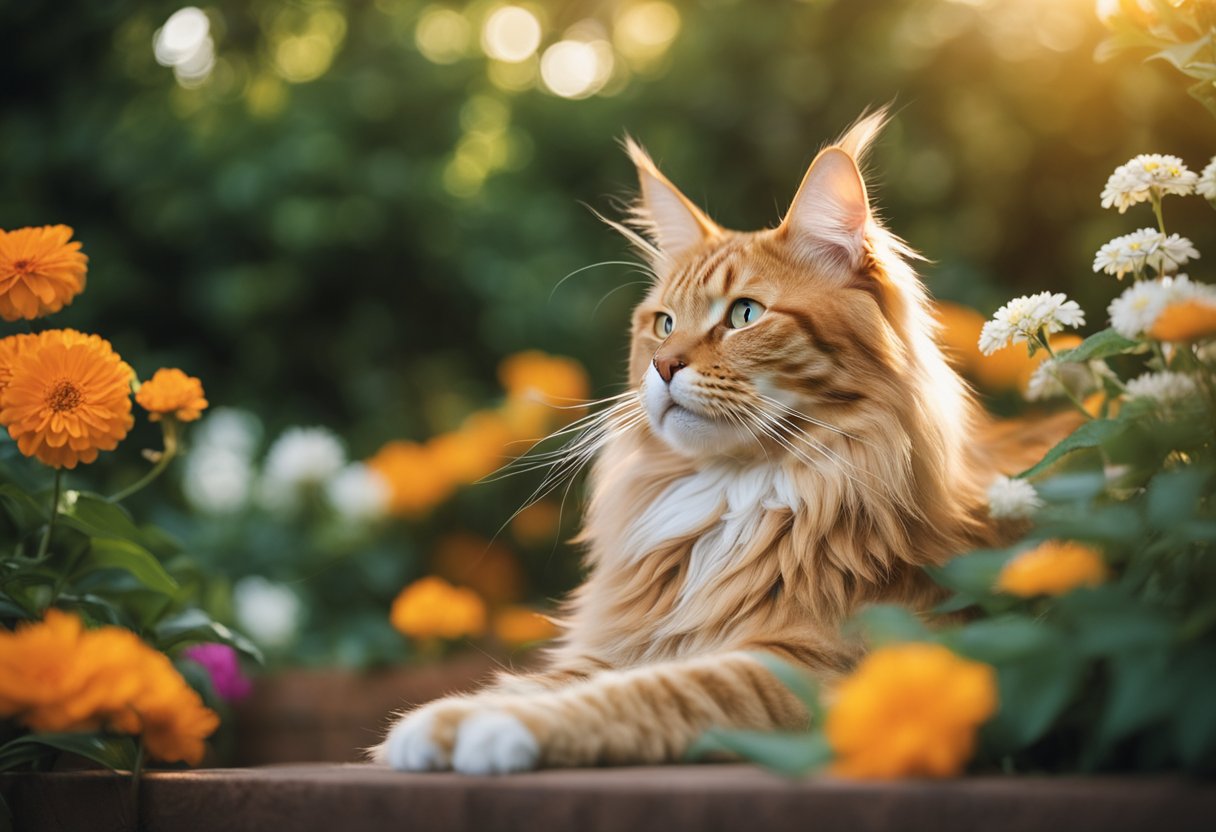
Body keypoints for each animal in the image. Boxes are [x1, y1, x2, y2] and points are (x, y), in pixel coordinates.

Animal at [372, 110, 1074, 773]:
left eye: (744, 314)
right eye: (662, 324)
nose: (663, 367)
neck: (734, 498)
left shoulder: (817, 666)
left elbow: (650, 693)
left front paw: (496, 730)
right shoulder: (624, 644)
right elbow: (540, 682)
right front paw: (436, 722)